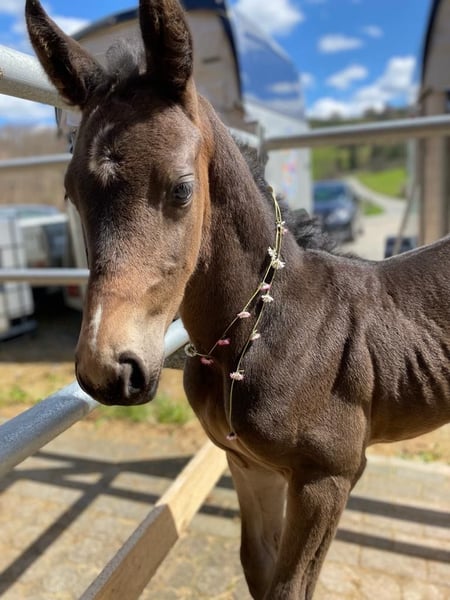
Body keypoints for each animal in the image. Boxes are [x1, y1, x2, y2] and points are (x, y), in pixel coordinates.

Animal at [25, 1, 450, 597]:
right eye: (70, 192)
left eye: (182, 187)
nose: (108, 369)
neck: (262, 332)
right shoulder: (249, 466)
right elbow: (257, 567)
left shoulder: (329, 478)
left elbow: (289, 586)